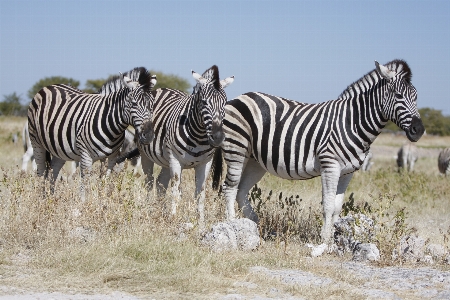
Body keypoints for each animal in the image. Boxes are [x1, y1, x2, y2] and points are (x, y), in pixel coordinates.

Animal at [27, 66, 156, 197]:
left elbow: (104, 181)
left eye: (153, 104)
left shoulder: (111, 158)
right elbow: (84, 186)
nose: (149, 136)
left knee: (54, 170)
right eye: (134, 103)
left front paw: (102, 199)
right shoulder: (85, 157)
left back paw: (51, 197)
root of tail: (50, 86)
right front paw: (84, 202)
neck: (111, 125)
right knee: (41, 172)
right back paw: (41, 198)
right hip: (36, 143)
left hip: (59, 149)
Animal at [213, 59, 424, 244]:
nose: (419, 130)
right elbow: (328, 205)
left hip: (254, 160)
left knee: (241, 190)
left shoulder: (347, 172)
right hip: (236, 149)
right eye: (398, 95)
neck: (353, 122)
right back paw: (233, 224)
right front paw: (324, 240)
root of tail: (237, 98)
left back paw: (255, 224)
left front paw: (332, 240)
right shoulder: (330, 166)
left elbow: (337, 207)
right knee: (229, 188)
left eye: (416, 97)